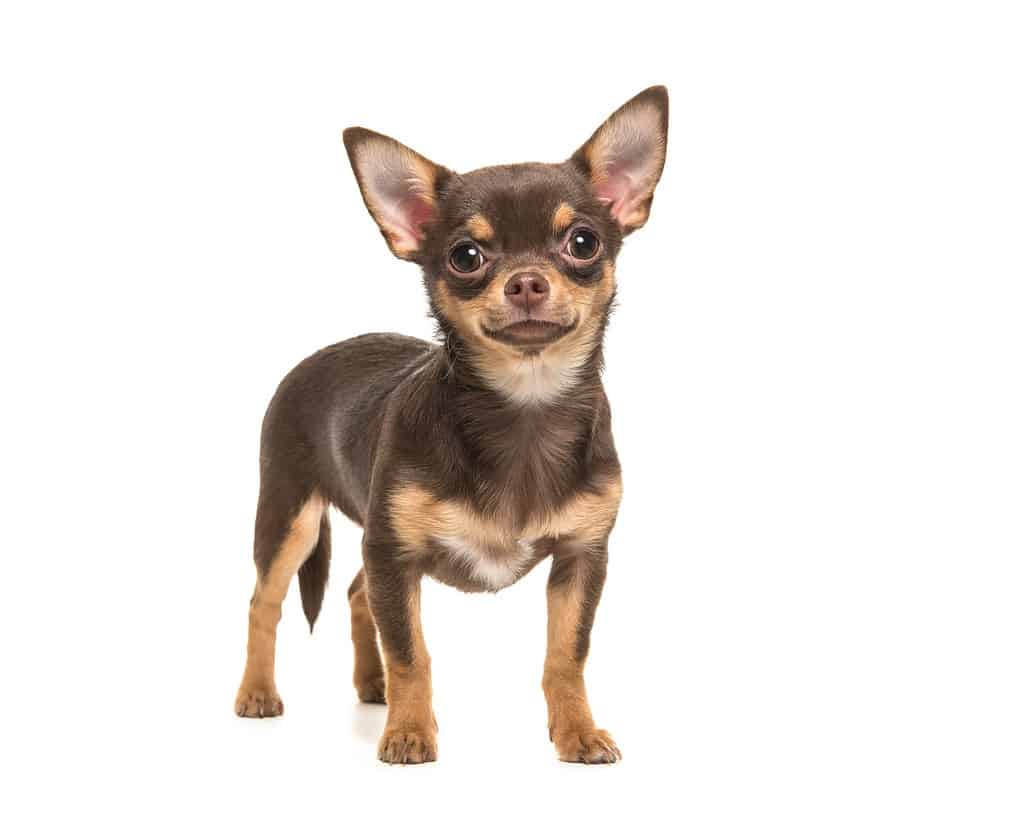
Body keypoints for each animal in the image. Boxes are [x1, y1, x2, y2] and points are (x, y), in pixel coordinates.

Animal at [234, 86, 671, 764]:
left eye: (582, 243)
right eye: (466, 256)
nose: (526, 281)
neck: (523, 408)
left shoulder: (581, 557)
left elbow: (566, 656)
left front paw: (577, 732)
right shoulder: (394, 552)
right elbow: (412, 652)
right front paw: (410, 732)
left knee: (357, 593)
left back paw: (372, 686)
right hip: (290, 516)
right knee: (265, 602)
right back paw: (258, 693)